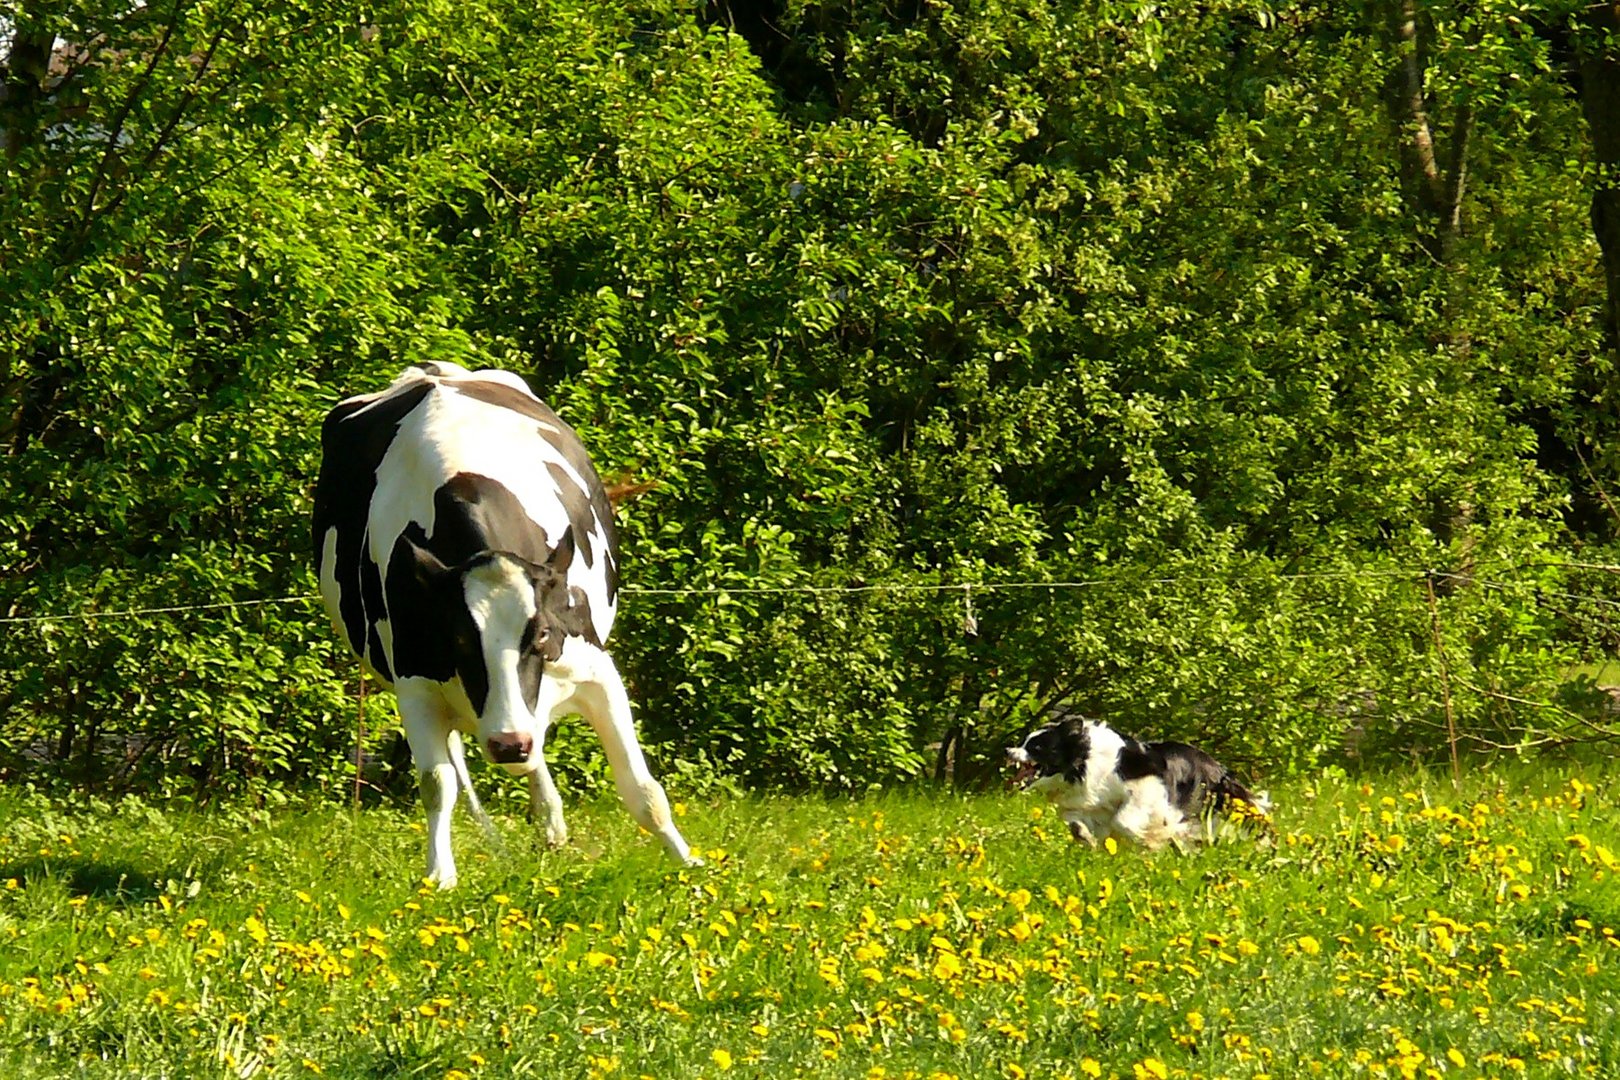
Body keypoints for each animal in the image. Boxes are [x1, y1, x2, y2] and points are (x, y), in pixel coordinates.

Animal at [315, 362, 696, 887]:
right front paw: (440, 874)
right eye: (456, 638)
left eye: (540, 634)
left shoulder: (597, 670)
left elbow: (643, 788)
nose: (507, 744)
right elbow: (437, 783)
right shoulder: (415, 685)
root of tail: (432, 370)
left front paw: (689, 863)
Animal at [1004, 722, 1270, 848]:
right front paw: (1089, 840)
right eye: (1024, 742)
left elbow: (1123, 821)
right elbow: (1076, 823)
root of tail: (1217, 769)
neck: (1084, 763)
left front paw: (1149, 840)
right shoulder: (1085, 805)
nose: (1008, 751)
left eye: (1036, 747)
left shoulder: (1146, 787)